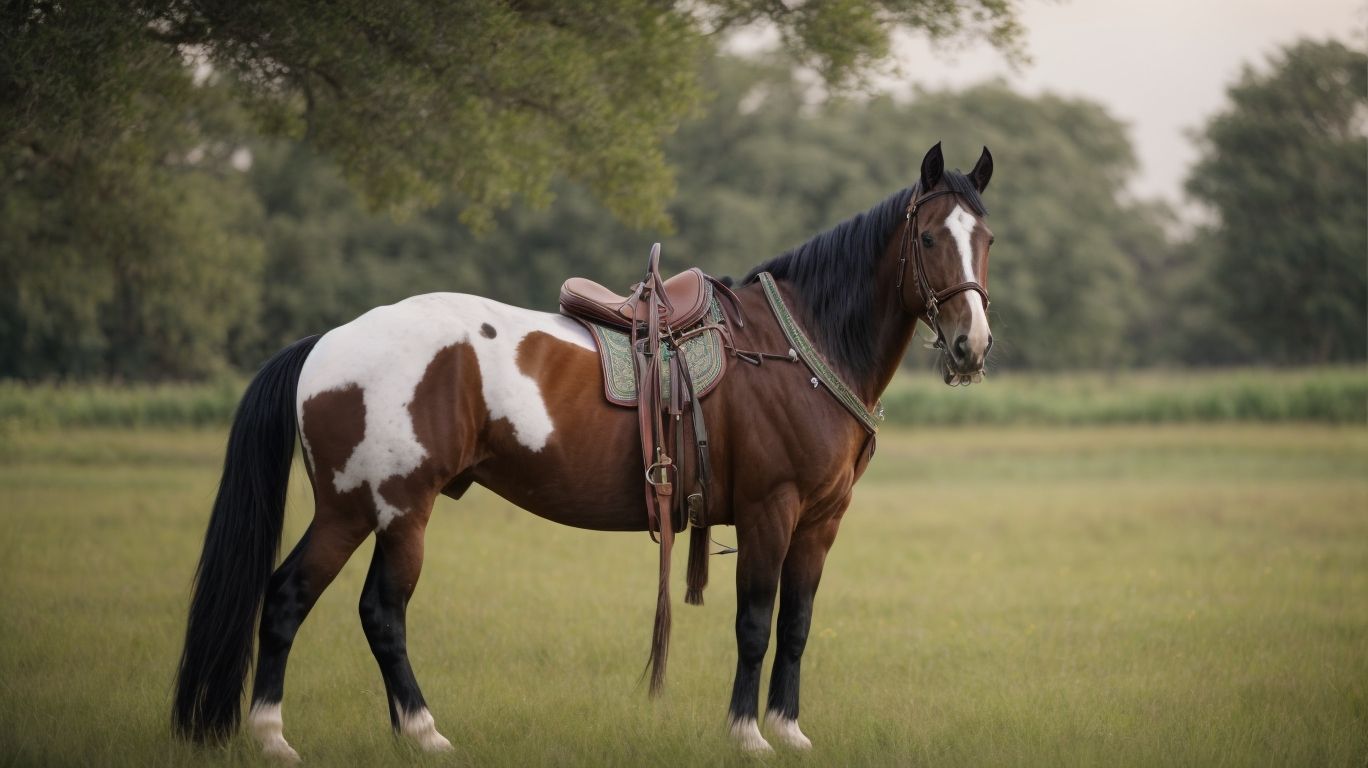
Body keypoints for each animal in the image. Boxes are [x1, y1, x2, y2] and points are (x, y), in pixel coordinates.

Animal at [172, 142, 996, 759]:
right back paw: (355, 735)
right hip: (380, 510)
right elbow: (756, 623)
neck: (793, 349)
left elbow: (795, 626)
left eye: (985, 239)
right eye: (929, 238)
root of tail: (329, 342)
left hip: (371, 512)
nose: (972, 344)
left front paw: (789, 732)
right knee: (344, 606)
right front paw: (746, 734)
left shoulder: (820, 522)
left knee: (320, 603)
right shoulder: (770, 511)